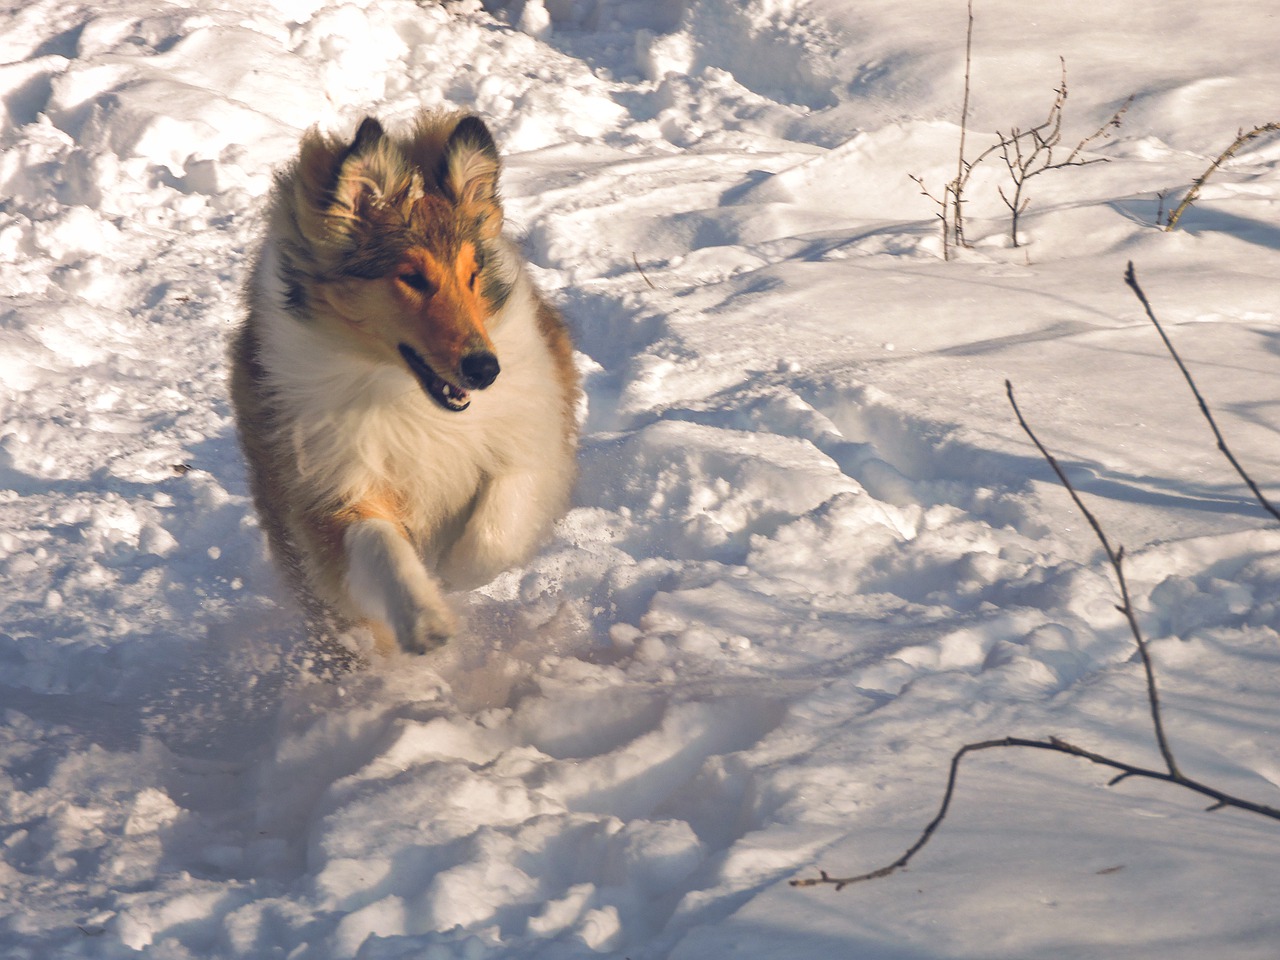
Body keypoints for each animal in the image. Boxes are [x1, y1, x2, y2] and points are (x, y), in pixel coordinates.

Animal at [230, 110, 581, 655]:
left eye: (473, 273)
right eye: (412, 277)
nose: (485, 370)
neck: (404, 393)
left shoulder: (528, 443)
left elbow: (495, 532)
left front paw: (453, 574)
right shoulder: (330, 490)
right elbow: (381, 548)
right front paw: (426, 620)